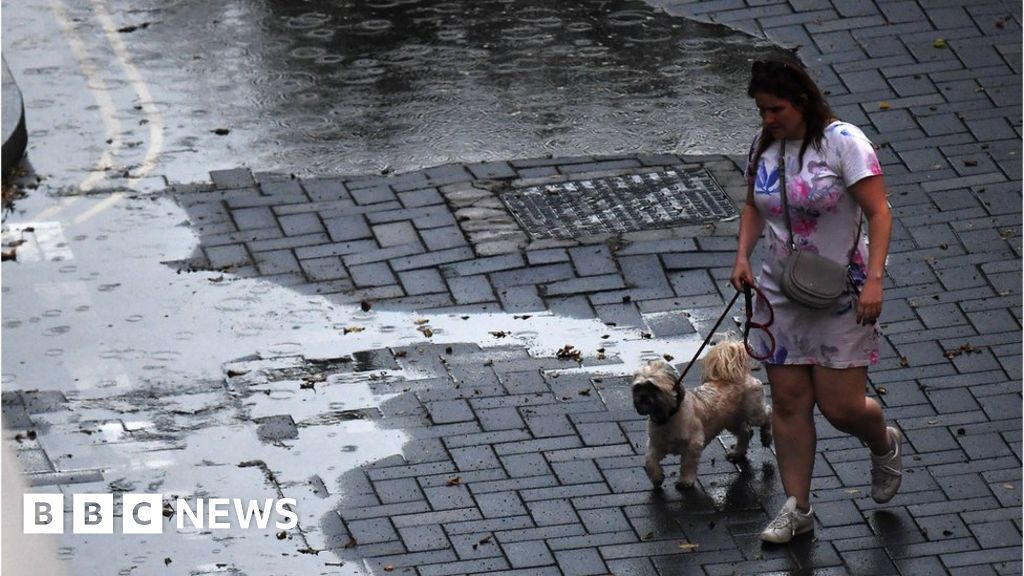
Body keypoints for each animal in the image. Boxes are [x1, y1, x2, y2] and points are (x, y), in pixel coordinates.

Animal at [626, 336, 770, 487]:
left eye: (653, 387)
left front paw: (686, 480)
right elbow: (650, 460)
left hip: (753, 413)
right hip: (732, 421)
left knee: (767, 414)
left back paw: (766, 436)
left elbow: (687, 464)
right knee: (745, 432)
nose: (643, 396)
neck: (668, 417)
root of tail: (742, 375)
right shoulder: (656, 445)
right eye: (637, 388)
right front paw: (657, 477)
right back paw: (738, 452)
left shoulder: (693, 445)